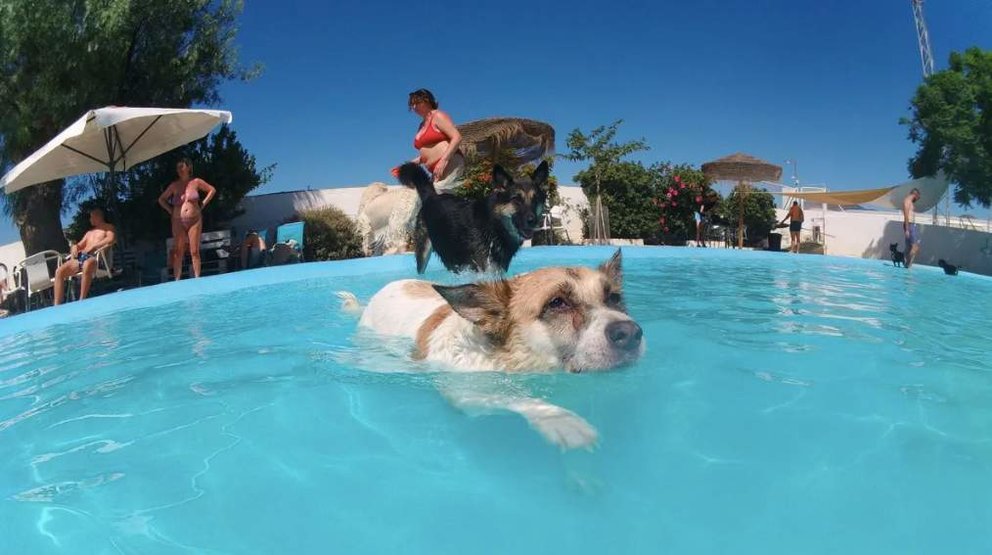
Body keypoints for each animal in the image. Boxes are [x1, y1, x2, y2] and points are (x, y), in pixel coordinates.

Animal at [398, 161, 552, 274]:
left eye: (535, 200)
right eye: (516, 200)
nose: (533, 221)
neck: (494, 225)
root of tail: (431, 196)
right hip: (424, 251)